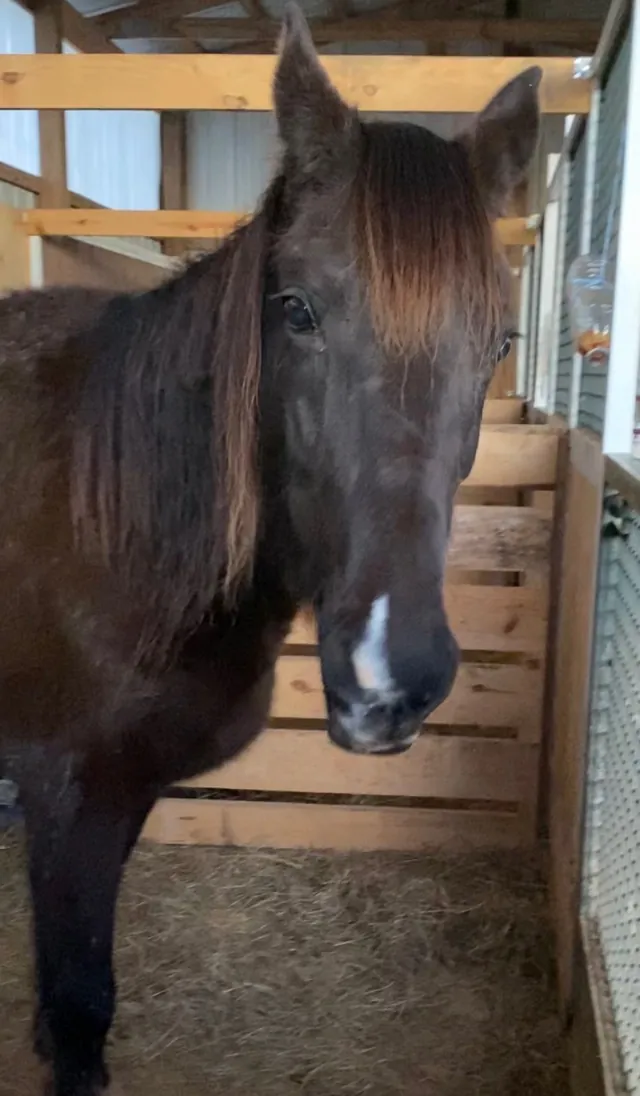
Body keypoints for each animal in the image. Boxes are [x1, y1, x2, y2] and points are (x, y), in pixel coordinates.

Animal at [0, 6, 540, 1093]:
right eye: (295, 308)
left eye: (499, 341)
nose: (387, 679)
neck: (116, 530)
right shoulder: (61, 790)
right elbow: (80, 1005)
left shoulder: (120, 797)